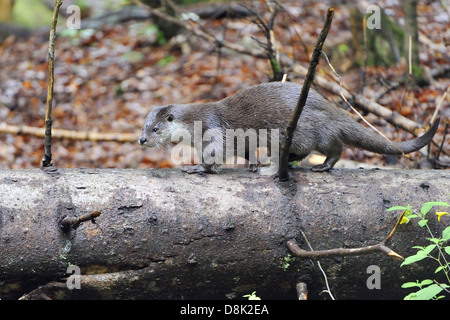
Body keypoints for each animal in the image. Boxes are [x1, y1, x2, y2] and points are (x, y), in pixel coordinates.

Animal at [138, 81, 440, 174]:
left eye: (155, 130)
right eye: (143, 127)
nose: (141, 140)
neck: (195, 121)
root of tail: (330, 107)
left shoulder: (214, 130)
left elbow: (215, 155)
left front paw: (196, 167)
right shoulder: (240, 139)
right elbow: (245, 151)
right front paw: (253, 165)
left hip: (309, 130)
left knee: (333, 147)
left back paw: (321, 165)